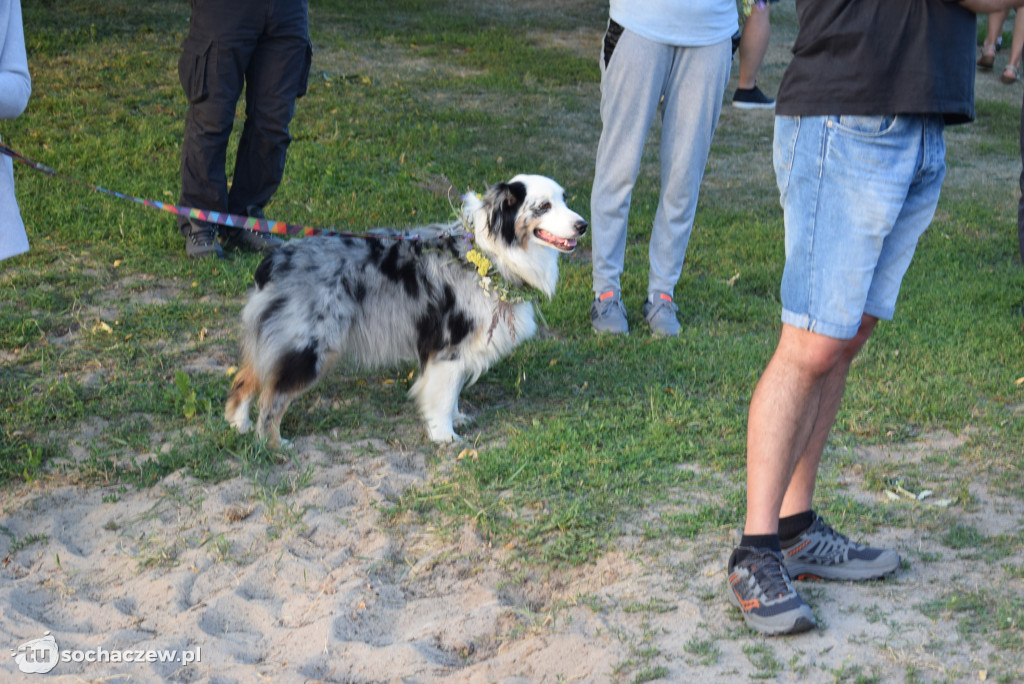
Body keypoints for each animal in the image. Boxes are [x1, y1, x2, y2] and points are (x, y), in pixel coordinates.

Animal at [227, 174, 589, 446]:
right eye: (543, 206)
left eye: (565, 200)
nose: (583, 225)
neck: (489, 254)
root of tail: (276, 260)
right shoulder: (447, 346)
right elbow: (442, 394)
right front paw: (444, 435)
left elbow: (452, 392)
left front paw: (456, 418)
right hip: (308, 346)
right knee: (272, 397)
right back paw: (273, 443)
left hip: (279, 340)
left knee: (247, 377)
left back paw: (237, 425)